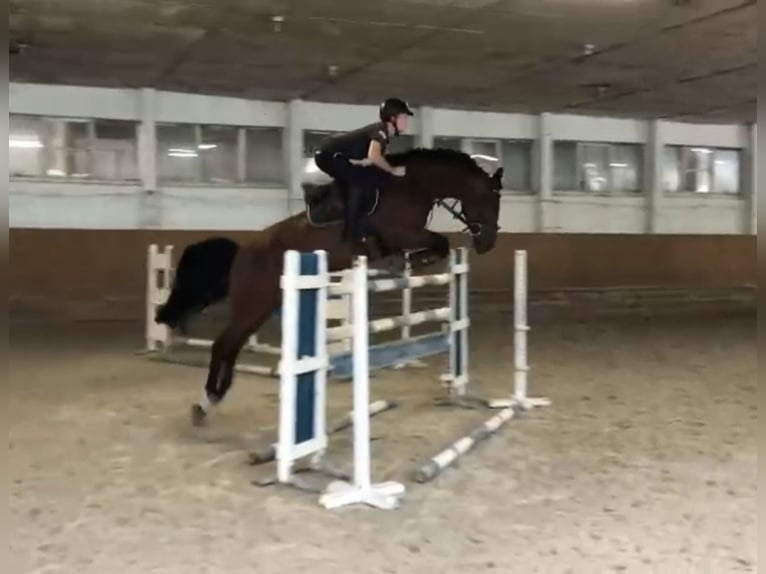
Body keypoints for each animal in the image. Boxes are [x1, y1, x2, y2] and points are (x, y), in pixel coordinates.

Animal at [183, 147, 504, 426]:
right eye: (489, 200)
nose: (488, 244)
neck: (412, 186)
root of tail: (242, 251)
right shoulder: (402, 233)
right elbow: (439, 242)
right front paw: (411, 260)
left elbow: (439, 244)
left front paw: (407, 261)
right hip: (253, 303)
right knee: (223, 344)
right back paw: (204, 402)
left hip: (262, 306)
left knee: (232, 345)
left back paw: (213, 399)